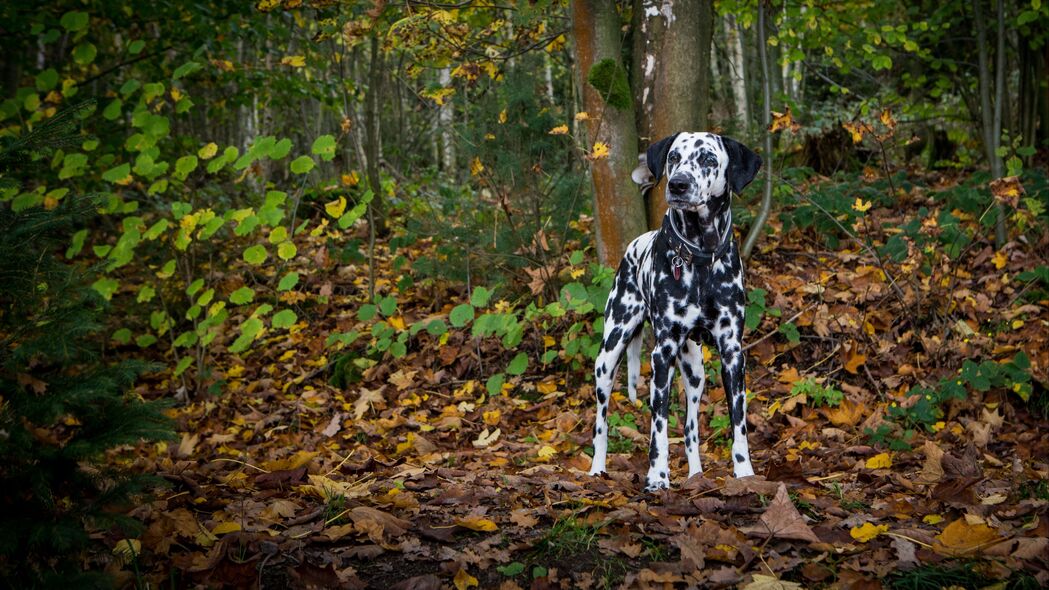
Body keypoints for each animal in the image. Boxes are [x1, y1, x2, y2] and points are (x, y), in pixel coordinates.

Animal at [587, 130, 759, 489]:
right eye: (673, 158)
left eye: (708, 158)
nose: (678, 184)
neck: (700, 260)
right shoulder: (661, 355)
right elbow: (659, 429)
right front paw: (657, 477)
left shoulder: (733, 355)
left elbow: (738, 425)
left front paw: (745, 474)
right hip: (608, 356)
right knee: (601, 423)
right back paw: (597, 469)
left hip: (695, 373)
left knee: (691, 429)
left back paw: (696, 475)